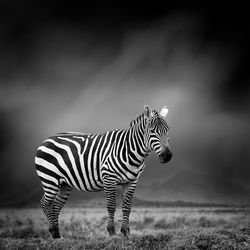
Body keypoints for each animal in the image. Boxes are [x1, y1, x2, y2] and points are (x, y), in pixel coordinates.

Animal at [35, 105, 172, 238]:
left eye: (167, 130)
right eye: (152, 131)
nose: (167, 156)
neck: (130, 150)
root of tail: (47, 139)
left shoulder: (132, 181)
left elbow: (127, 207)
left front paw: (125, 232)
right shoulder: (109, 177)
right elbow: (111, 205)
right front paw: (111, 232)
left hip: (65, 184)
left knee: (56, 205)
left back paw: (58, 235)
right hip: (49, 179)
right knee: (45, 203)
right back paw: (53, 231)